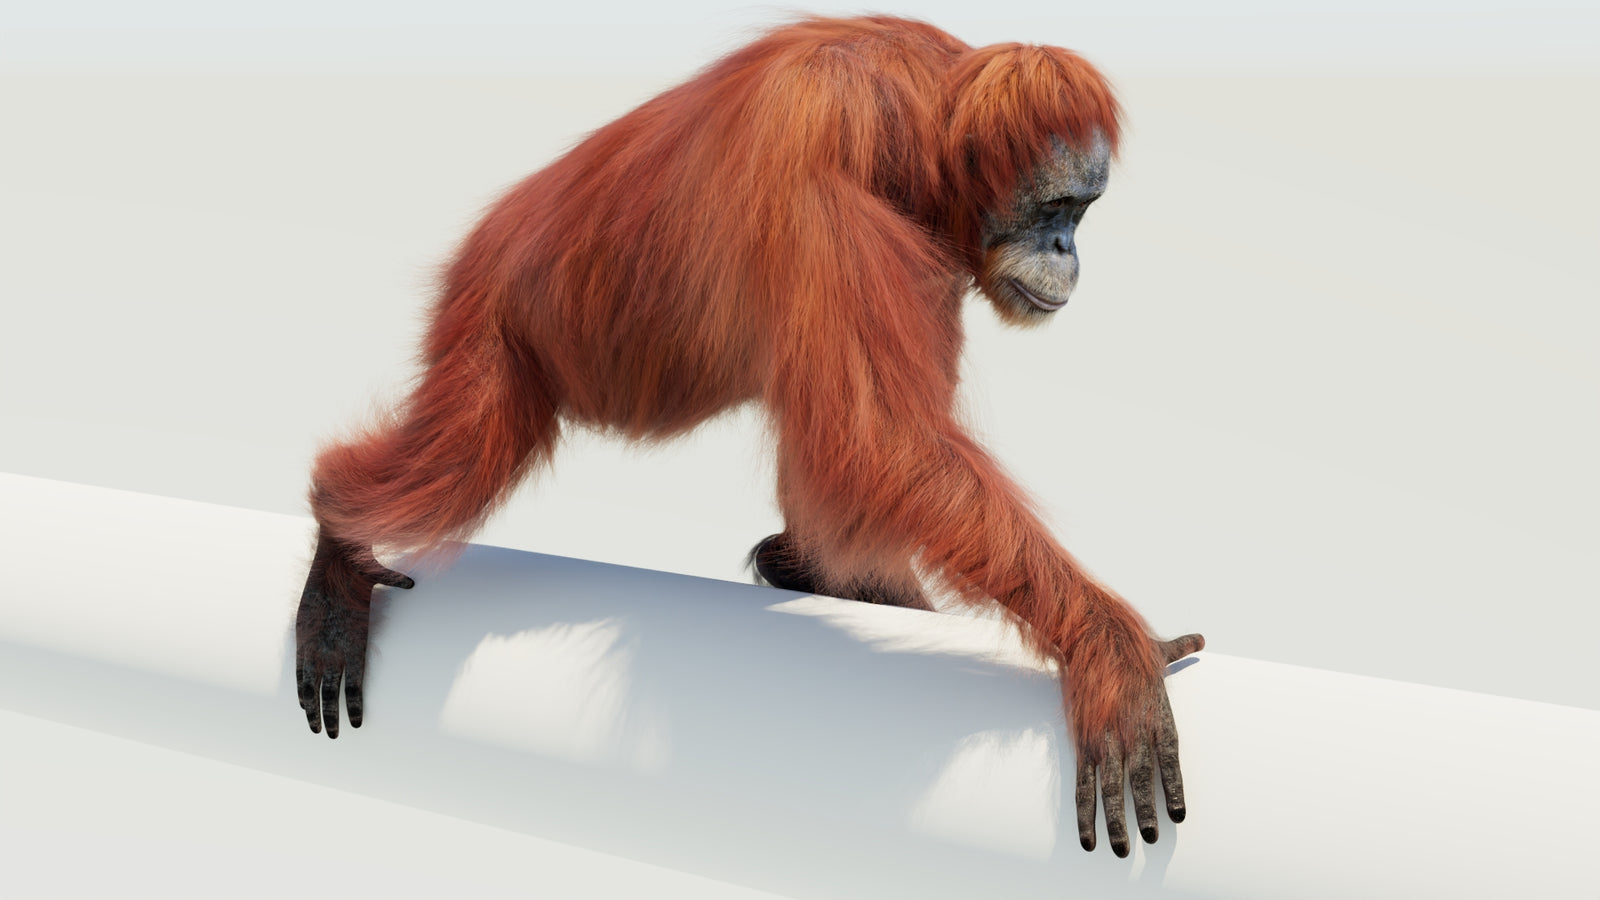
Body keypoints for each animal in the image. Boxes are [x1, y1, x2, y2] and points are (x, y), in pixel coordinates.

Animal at [296, 15, 1203, 857]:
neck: (920, 111)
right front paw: (1109, 650)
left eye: (1083, 211)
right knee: (457, 461)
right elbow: (875, 439)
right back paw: (339, 542)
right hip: (492, 314)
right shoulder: (823, 149)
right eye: (1057, 207)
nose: (1067, 249)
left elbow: (864, 450)